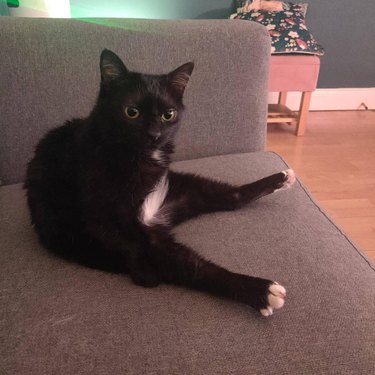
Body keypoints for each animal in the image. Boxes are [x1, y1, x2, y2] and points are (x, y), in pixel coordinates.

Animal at [25, 49, 296, 318]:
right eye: (131, 112)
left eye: (169, 115)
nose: (154, 134)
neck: (138, 157)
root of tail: (155, 219)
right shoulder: (99, 213)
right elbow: (127, 244)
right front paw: (145, 274)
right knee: (195, 267)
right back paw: (262, 292)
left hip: (185, 189)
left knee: (233, 198)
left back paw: (282, 178)